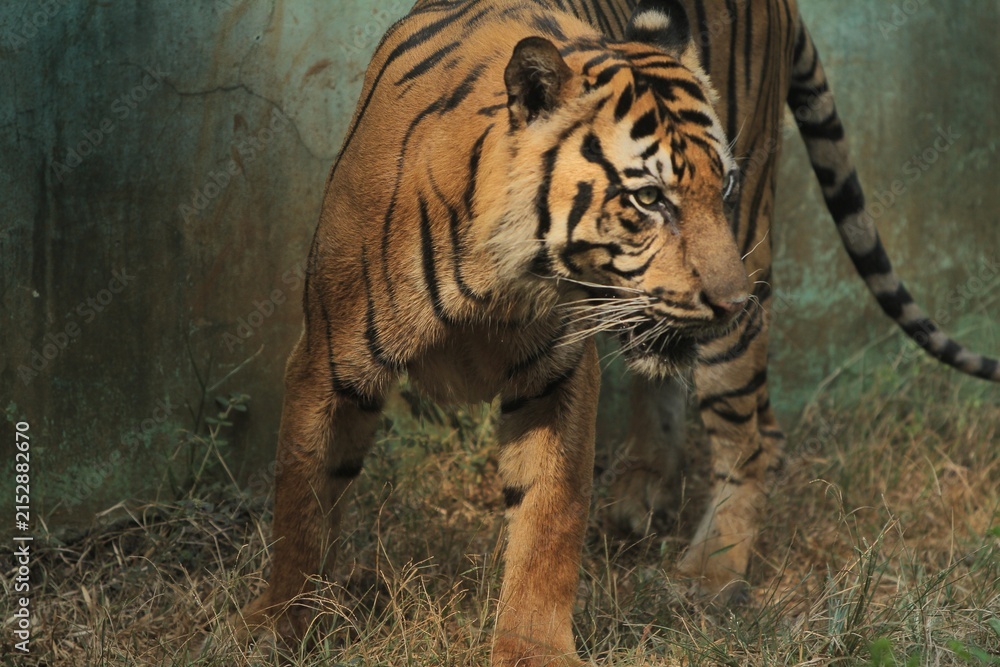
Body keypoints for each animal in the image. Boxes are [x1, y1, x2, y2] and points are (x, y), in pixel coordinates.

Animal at [232, 0, 999, 664]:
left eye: (718, 189)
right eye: (649, 198)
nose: (729, 301)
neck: (495, 276)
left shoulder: (556, 373)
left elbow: (549, 518)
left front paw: (533, 652)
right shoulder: (327, 359)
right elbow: (302, 501)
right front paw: (279, 626)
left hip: (741, 279)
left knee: (751, 438)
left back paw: (710, 573)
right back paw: (641, 494)